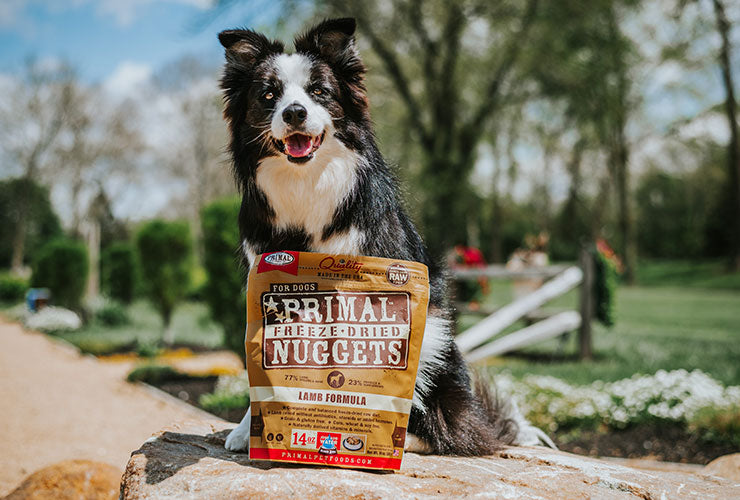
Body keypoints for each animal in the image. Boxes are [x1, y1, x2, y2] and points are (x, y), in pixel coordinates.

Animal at [220, 17, 544, 456]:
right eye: (268, 94)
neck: (307, 183)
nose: (295, 112)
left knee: (448, 423)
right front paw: (251, 428)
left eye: (319, 91)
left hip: (437, 344)